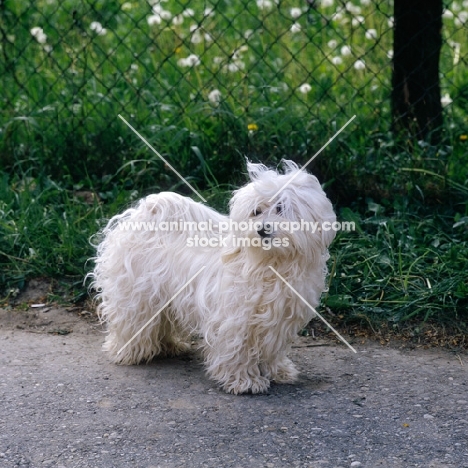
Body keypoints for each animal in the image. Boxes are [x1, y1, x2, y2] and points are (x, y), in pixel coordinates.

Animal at [88, 161, 336, 394]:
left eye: (281, 208)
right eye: (256, 211)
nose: (262, 229)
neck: (271, 265)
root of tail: (147, 213)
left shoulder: (279, 321)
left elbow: (272, 348)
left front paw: (278, 371)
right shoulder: (235, 320)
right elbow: (237, 350)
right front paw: (244, 381)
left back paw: (170, 345)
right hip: (136, 297)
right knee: (131, 322)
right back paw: (126, 351)